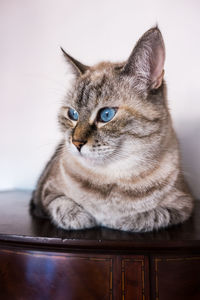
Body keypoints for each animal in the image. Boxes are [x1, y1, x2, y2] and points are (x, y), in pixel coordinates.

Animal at [30, 26, 194, 232]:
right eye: (73, 114)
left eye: (106, 115)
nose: (76, 142)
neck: (112, 176)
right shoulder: (44, 195)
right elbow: (63, 205)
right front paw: (85, 218)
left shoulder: (184, 206)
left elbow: (145, 217)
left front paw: (113, 220)